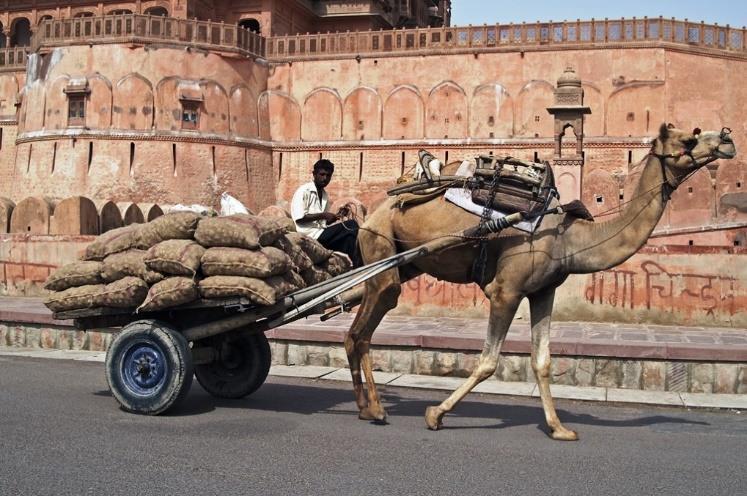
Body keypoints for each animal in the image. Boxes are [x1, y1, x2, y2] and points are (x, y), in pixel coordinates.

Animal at [344, 125, 736, 442]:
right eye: (689, 138)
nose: (727, 139)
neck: (569, 239)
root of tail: (371, 212)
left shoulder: (543, 291)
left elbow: (543, 360)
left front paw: (560, 428)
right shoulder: (506, 290)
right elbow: (488, 361)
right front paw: (435, 414)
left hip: (404, 263)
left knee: (356, 330)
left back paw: (365, 407)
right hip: (382, 249)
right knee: (362, 331)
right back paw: (376, 409)